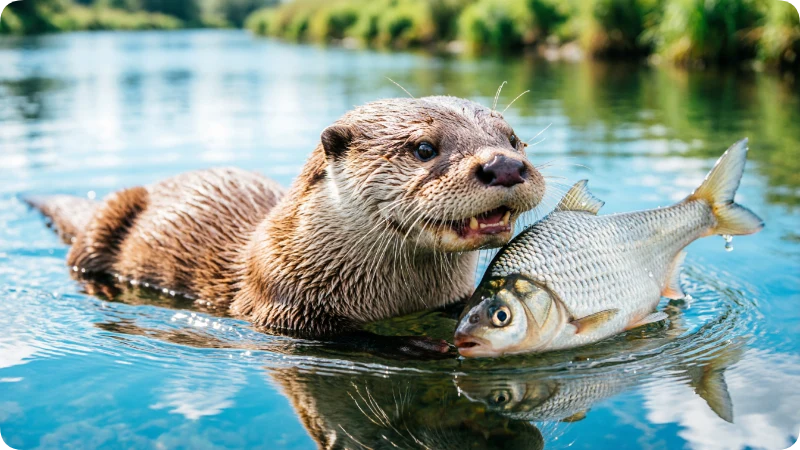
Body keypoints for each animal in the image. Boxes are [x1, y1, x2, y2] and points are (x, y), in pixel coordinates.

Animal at [29, 96, 544, 355]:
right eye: (423, 148)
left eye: (513, 139)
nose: (503, 165)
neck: (396, 298)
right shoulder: (281, 308)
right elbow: (347, 339)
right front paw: (416, 345)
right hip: (107, 221)